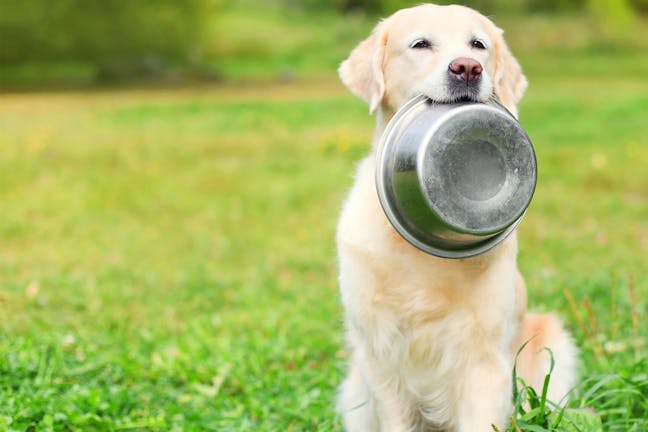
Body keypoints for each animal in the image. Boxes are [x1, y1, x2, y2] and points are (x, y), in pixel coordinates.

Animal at [336, 4, 576, 432]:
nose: (467, 68)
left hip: (552, 342)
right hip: (355, 391)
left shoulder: (485, 358)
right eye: (420, 44)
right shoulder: (381, 357)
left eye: (477, 44)